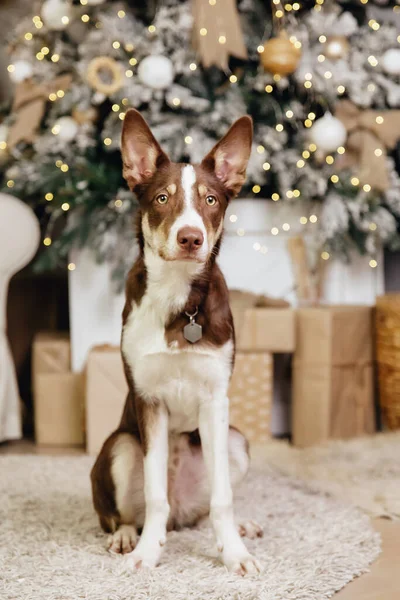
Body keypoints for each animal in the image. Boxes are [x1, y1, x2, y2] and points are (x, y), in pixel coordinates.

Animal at [92, 109, 264, 576]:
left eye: (211, 200)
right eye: (162, 198)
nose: (191, 238)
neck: (179, 301)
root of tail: (183, 514)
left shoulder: (216, 400)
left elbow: (223, 498)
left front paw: (234, 554)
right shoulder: (148, 400)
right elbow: (154, 495)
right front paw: (147, 553)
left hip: (237, 442)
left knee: (206, 510)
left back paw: (238, 528)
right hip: (118, 446)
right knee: (120, 511)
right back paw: (126, 536)